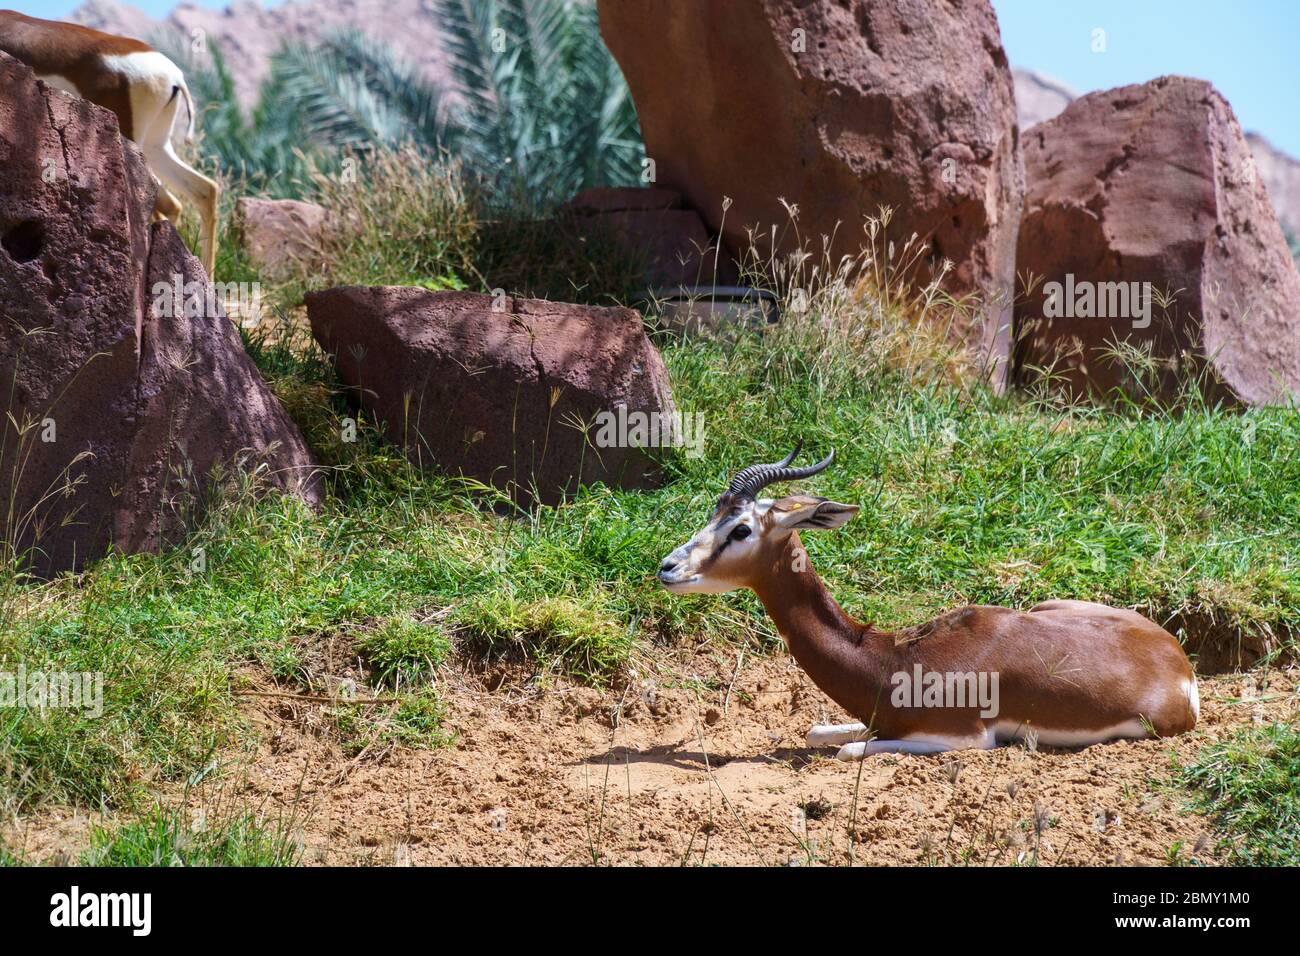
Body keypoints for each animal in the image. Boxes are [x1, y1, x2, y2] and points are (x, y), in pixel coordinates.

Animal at [658, 444, 1199, 760]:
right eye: (714, 513)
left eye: (741, 529)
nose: (667, 568)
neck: (892, 659)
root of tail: (1179, 661)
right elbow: (817, 731)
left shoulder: (965, 739)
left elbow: (850, 750)